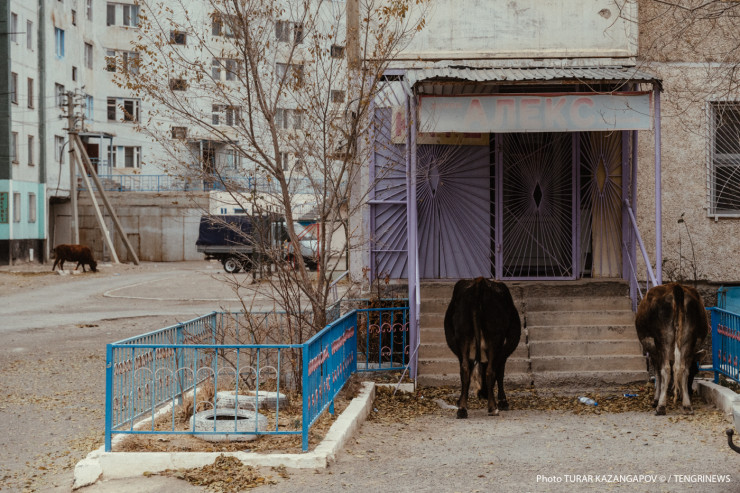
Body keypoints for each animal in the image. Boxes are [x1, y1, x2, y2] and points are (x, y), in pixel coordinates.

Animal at [444, 277, 521, 419]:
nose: (482, 394)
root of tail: (480, 281)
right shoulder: (504, 347)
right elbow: (500, 371)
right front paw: (503, 401)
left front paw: (460, 400)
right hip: (494, 336)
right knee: (490, 371)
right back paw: (493, 408)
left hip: (463, 334)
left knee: (465, 369)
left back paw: (462, 409)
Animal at [634, 283, 708, 415]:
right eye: (696, 371)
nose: (690, 391)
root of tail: (676, 286)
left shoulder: (654, 353)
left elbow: (658, 374)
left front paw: (656, 399)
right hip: (688, 339)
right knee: (683, 369)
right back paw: (687, 405)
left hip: (663, 338)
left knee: (666, 369)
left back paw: (661, 406)